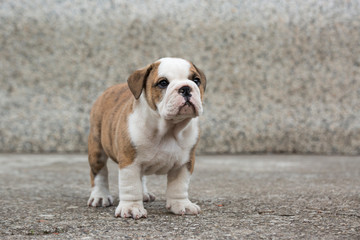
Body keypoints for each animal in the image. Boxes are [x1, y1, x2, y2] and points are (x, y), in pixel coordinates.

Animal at [86, 58, 207, 219]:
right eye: (163, 83)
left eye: (196, 80)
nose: (186, 88)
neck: (169, 129)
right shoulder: (129, 162)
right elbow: (131, 186)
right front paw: (131, 208)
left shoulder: (184, 162)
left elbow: (179, 186)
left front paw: (181, 204)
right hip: (97, 147)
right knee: (99, 172)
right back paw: (100, 196)